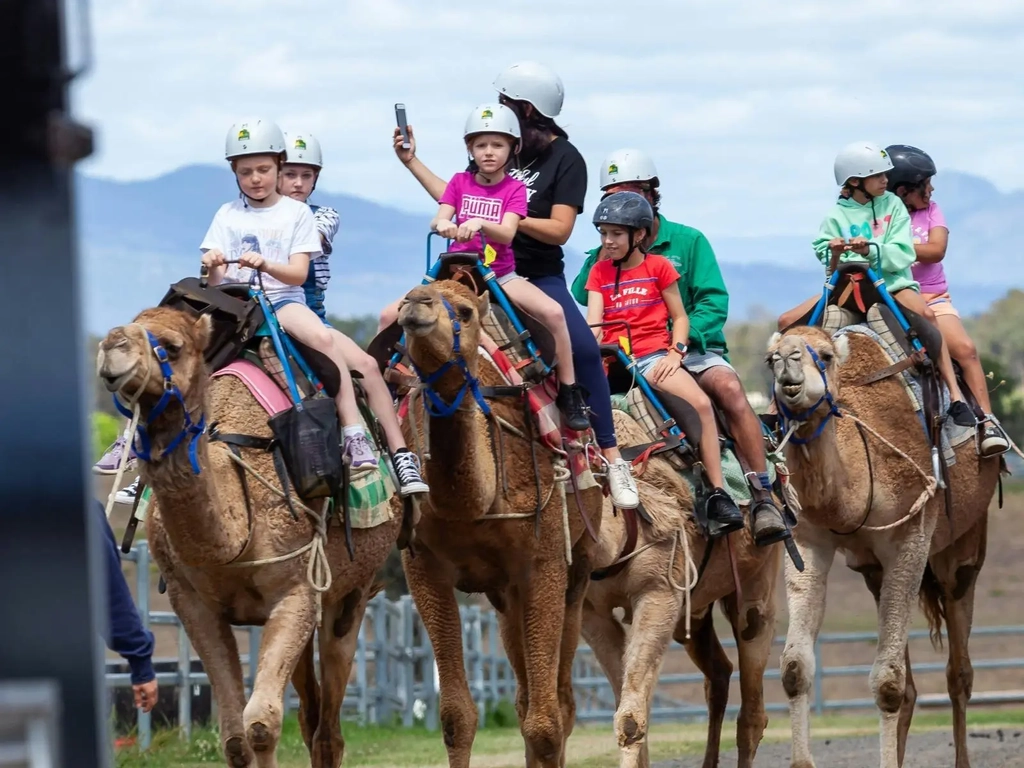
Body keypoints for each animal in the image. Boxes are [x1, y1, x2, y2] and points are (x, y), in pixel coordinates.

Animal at [95, 309, 399, 768]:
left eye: (172, 346)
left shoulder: (296, 590)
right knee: (310, 716)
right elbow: (236, 737)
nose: (112, 344)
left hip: (353, 594)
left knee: (329, 728)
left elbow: (260, 725)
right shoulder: (191, 602)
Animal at [389, 280, 602, 768]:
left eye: (464, 311)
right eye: (404, 300)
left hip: (577, 572)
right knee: (525, 698)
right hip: (504, 596)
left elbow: (546, 723)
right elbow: (456, 717)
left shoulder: (544, 567)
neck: (474, 503)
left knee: (560, 702)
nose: (415, 305)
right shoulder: (423, 567)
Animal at [581, 411, 778, 768]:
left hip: (759, 579)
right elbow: (630, 703)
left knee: (753, 710)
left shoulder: (658, 593)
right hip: (693, 611)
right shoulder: (592, 614)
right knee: (718, 673)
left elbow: (630, 717)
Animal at [770, 325, 999, 768]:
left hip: (963, 550)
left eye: (824, 355)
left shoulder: (911, 535)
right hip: (876, 574)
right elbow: (794, 669)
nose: (787, 363)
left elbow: (888, 684)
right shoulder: (808, 540)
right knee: (913, 685)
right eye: (770, 358)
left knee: (959, 672)